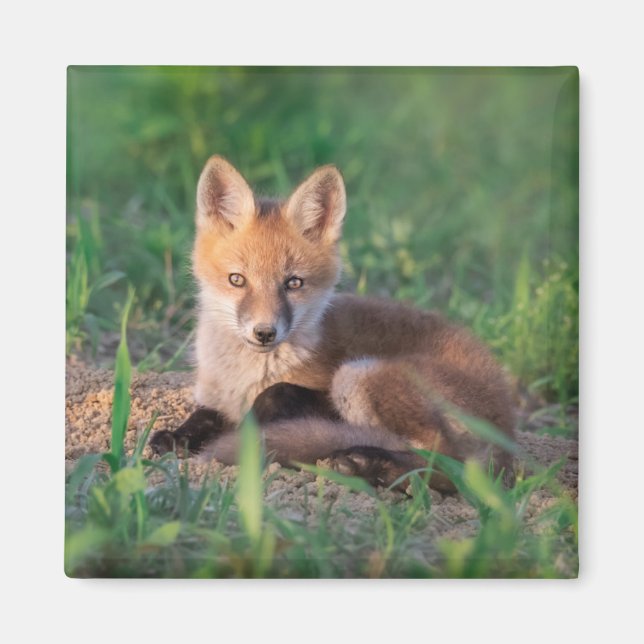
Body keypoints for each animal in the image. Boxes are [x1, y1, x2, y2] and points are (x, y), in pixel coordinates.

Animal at [150, 155, 516, 491]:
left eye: (293, 283)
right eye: (237, 280)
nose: (265, 332)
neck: (244, 376)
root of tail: (508, 428)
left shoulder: (318, 392)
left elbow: (274, 394)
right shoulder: (215, 398)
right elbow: (203, 415)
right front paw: (178, 437)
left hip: (358, 374)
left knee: (450, 466)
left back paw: (371, 464)